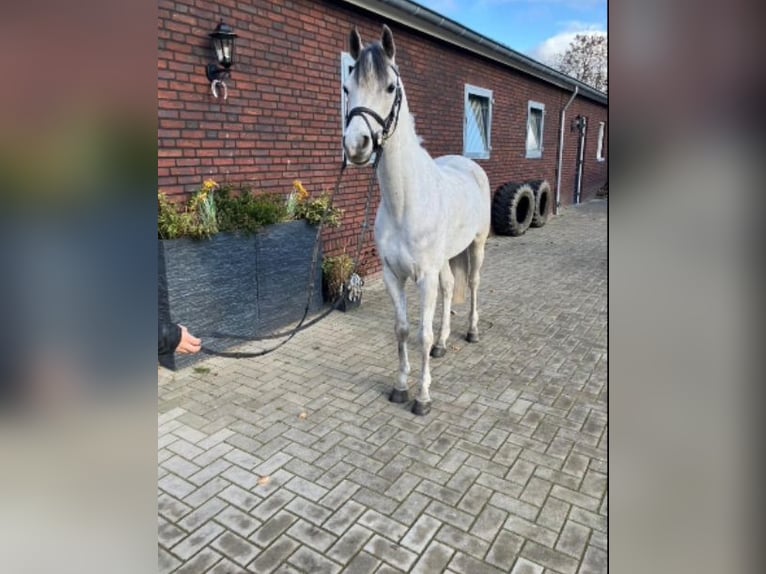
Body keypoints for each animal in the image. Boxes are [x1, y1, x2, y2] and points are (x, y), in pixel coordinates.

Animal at [342, 25, 491, 416]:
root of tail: (469, 165)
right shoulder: (394, 276)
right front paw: (399, 387)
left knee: (472, 285)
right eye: (347, 88)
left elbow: (421, 333)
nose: (357, 145)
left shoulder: (423, 277)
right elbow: (403, 330)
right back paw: (442, 345)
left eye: (390, 88)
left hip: (477, 246)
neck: (405, 202)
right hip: (445, 259)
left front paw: (422, 397)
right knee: (450, 287)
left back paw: (471, 332)